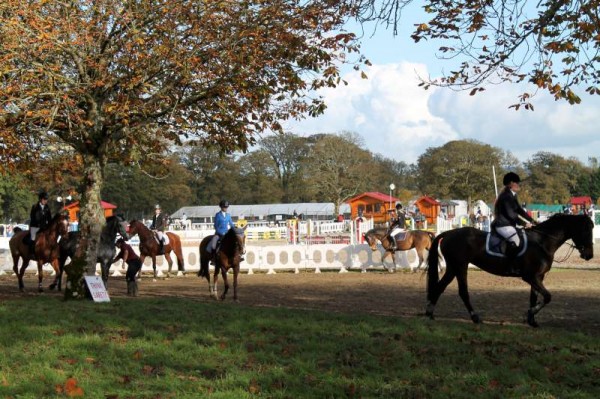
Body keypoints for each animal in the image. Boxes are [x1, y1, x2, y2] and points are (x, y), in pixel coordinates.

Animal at [426, 216, 596, 328]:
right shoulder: (530, 277)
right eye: (585, 230)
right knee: (463, 292)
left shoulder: (538, 277)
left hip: (453, 268)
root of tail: (448, 233)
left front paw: (531, 320)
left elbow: (534, 297)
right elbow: (547, 297)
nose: (589, 255)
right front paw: (530, 313)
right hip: (460, 267)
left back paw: (430, 313)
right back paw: (475, 317)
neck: (541, 242)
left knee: (439, 287)